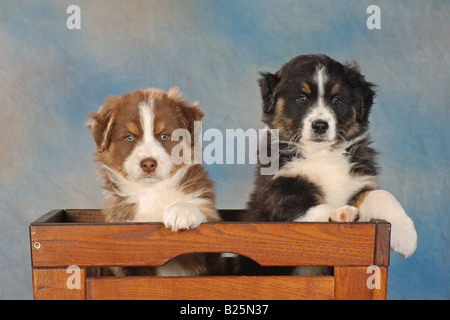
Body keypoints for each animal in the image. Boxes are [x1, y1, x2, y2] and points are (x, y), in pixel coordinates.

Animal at [241, 53, 416, 274]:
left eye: (336, 100)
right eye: (302, 98)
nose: (320, 126)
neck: (323, 153)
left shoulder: (360, 181)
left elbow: (381, 194)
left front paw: (406, 235)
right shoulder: (279, 188)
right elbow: (311, 206)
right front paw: (339, 214)